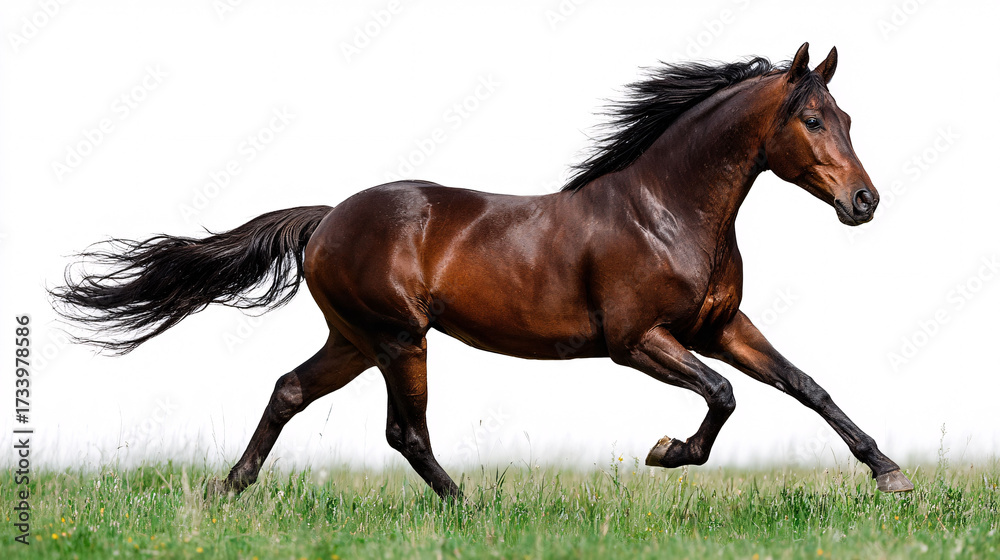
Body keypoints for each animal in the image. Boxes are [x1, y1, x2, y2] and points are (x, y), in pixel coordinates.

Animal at [52, 43, 914, 499]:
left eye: (847, 117)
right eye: (812, 119)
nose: (865, 201)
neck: (666, 209)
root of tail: (327, 218)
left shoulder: (721, 325)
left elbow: (806, 386)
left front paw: (890, 473)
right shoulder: (637, 340)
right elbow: (725, 395)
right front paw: (668, 453)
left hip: (356, 339)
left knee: (291, 390)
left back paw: (229, 489)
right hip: (399, 338)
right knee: (404, 430)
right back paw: (469, 504)